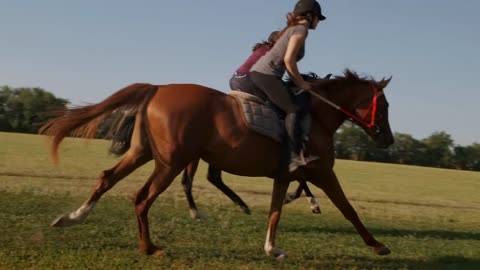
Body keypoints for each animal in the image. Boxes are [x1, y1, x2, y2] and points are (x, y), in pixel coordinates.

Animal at [40, 69, 394, 260]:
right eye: (386, 105)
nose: (388, 140)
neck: (317, 114)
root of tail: (157, 88)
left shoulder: (285, 174)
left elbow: (275, 211)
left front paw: (272, 249)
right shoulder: (322, 172)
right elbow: (348, 209)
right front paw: (378, 245)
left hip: (143, 153)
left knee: (107, 178)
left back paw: (72, 217)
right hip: (171, 162)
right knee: (143, 198)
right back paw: (149, 247)